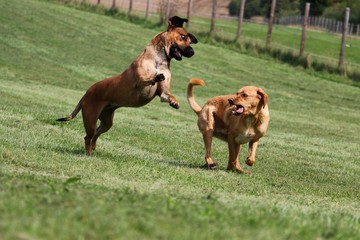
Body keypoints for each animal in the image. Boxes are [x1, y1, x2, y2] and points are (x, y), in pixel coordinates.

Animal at [57, 16, 197, 156]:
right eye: (183, 36)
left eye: (190, 40)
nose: (192, 52)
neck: (158, 60)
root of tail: (86, 93)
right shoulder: (139, 82)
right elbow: (146, 79)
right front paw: (155, 77)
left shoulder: (163, 92)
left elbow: (167, 94)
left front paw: (174, 101)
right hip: (90, 118)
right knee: (88, 136)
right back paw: (88, 153)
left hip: (107, 121)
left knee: (96, 134)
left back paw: (93, 147)